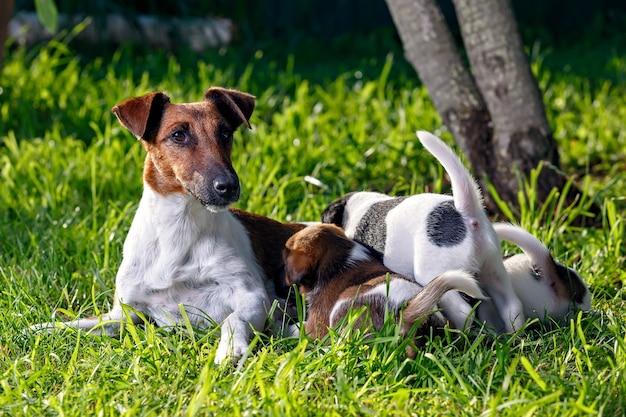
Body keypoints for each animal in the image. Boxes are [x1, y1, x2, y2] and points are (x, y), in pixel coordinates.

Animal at [31, 88, 304, 364]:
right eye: (178, 135)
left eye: (225, 133)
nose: (228, 186)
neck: (179, 230)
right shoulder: (124, 313)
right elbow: (85, 324)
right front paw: (41, 328)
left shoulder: (251, 296)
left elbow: (232, 318)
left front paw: (230, 349)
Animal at [322, 130, 520, 332]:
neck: (359, 207)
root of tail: (464, 212)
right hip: (493, 269)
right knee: (512, 306)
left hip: (432, 273)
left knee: (463, 311)